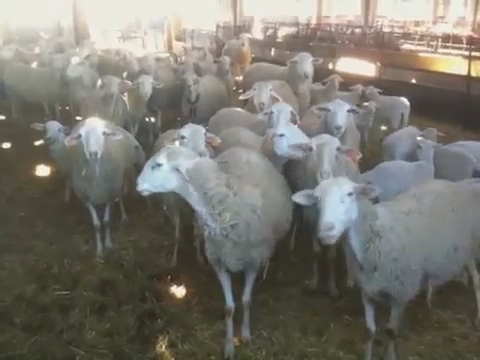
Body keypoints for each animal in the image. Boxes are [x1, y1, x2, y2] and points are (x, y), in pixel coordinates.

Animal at [63, 116, 146, 258]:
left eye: (103, 133)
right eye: (81, 136)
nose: (93, 153)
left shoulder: (110, 193)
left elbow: (107, 222)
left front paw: (108, 244)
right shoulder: (86, 196)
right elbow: (97, 224)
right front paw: (99, 251)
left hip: (119, 180)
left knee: (120, 196)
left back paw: (124, 217)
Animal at [135, 145, 292, 358]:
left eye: (158, 165)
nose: (137, 184)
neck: (227, 209)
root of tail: (241, 148)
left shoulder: (252, 261)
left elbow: (246, 301)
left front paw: (245, 335)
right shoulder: (219, 262)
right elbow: (229, 307)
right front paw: (229, 346)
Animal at [290, 177, 480, 360]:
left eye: (351, 193)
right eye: (317, 198)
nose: (326, 232)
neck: (373, 236)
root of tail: (452, 184)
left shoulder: (399, 293)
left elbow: (390, 332)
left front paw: (390, 356)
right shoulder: (367, 291)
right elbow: (369, 331)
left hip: (470, 249)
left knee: (476, 279)